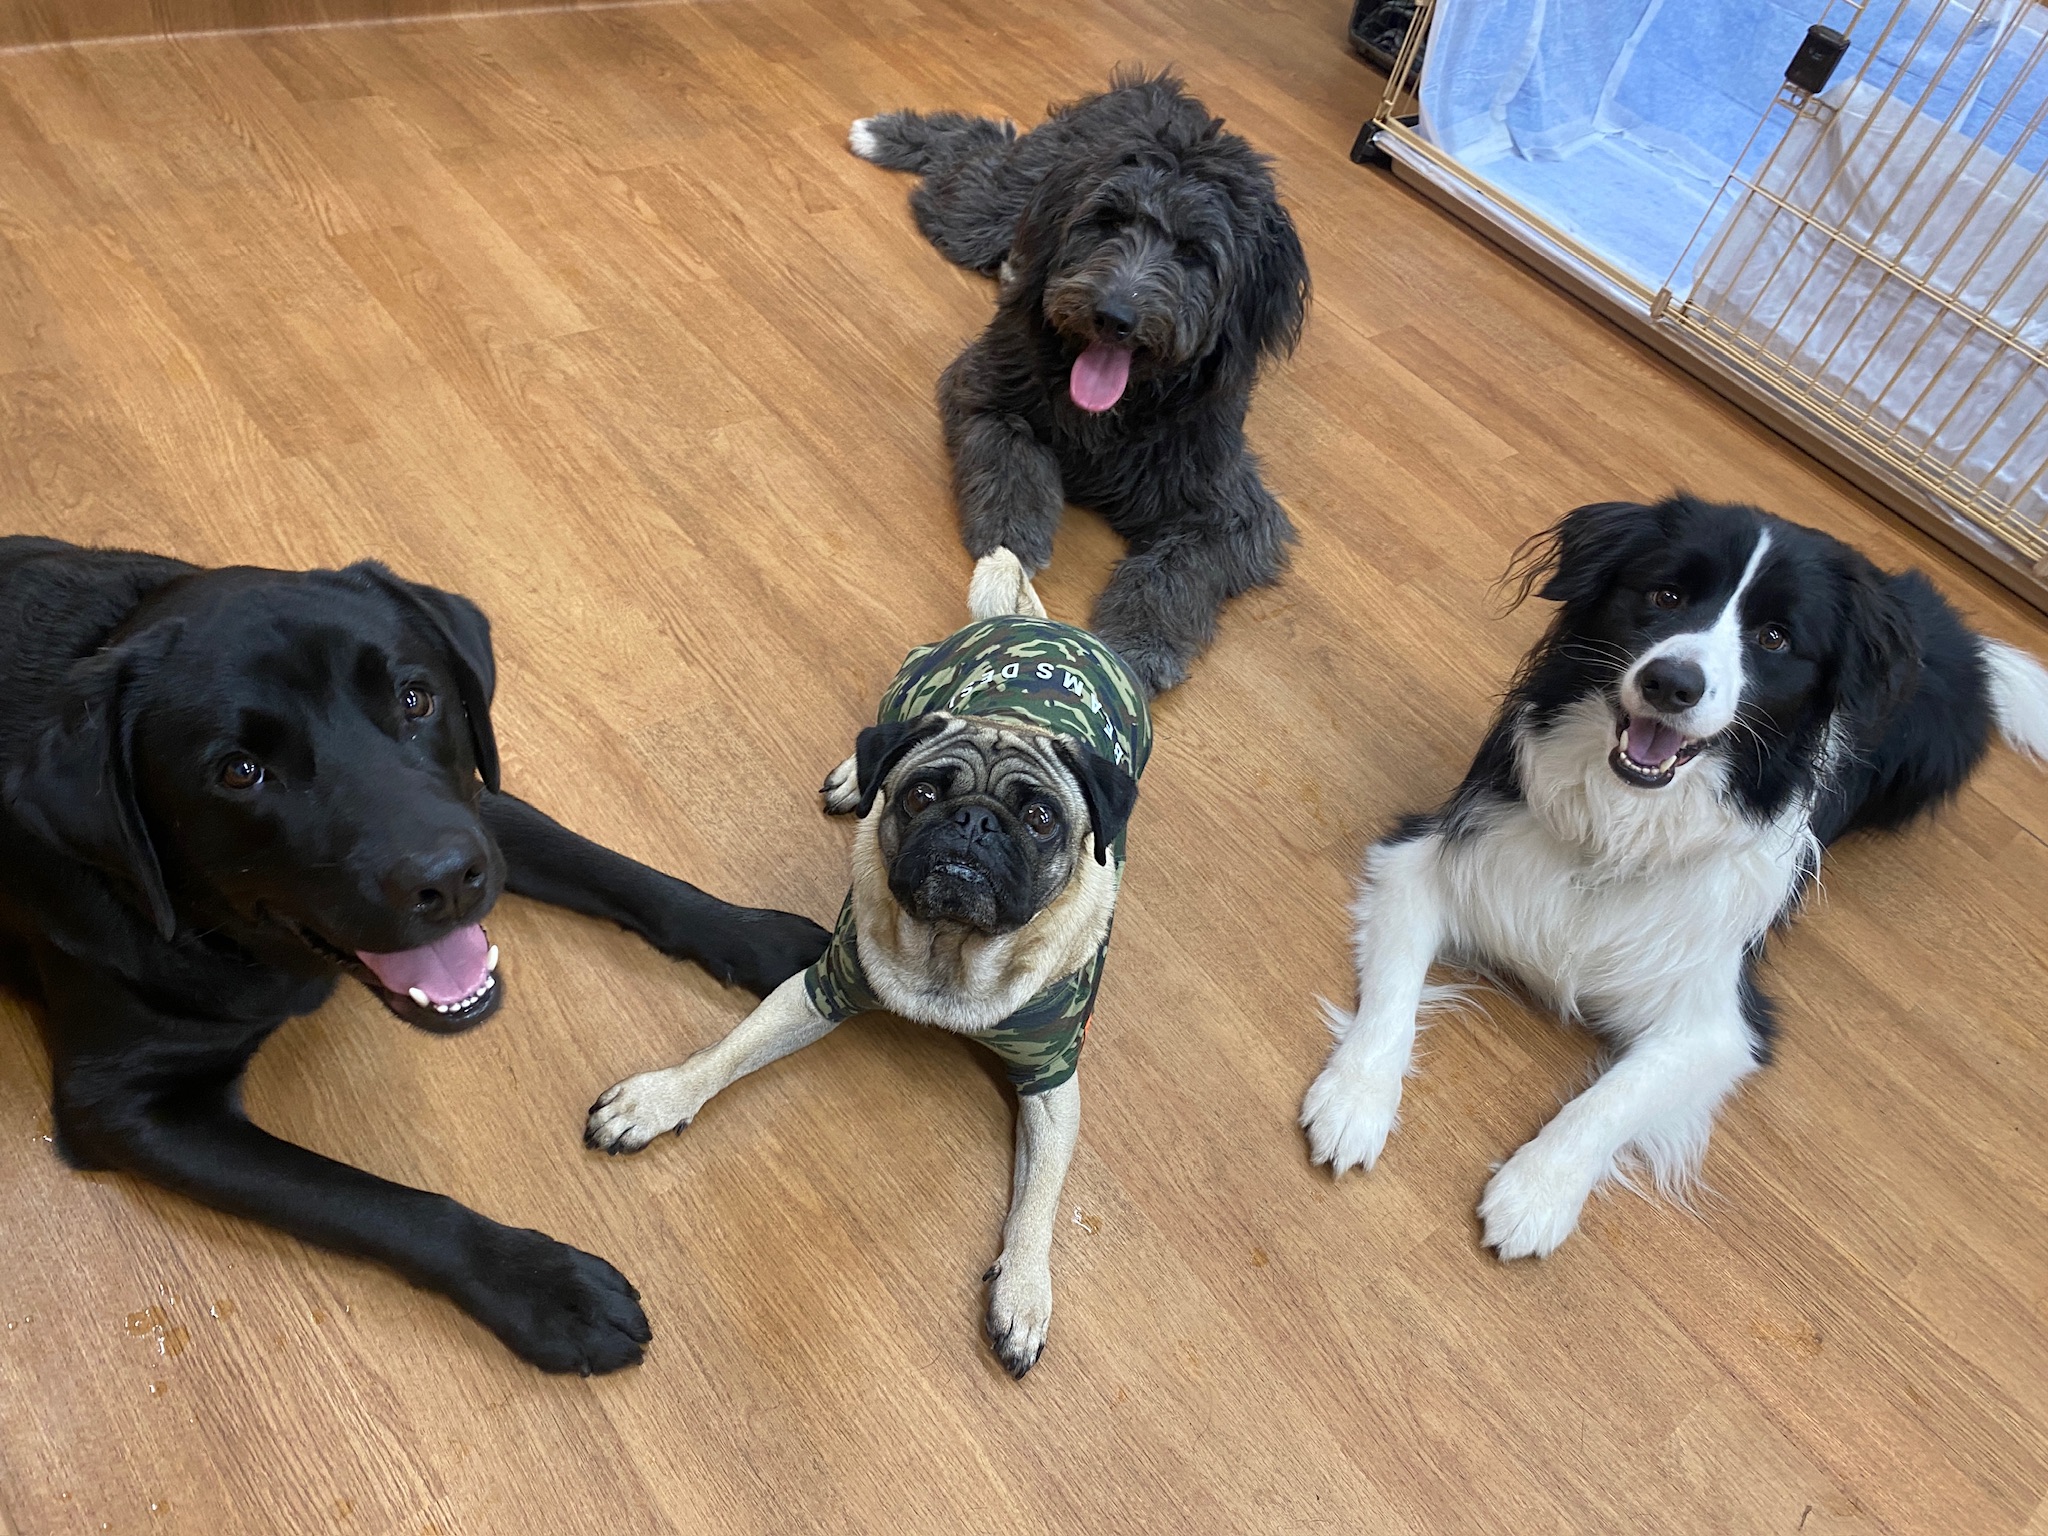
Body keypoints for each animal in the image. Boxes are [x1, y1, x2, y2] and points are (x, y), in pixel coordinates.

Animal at [0, 536, 829, 1373]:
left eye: (414, 699)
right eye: (239, 770)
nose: (448, 879)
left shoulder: (474, 804)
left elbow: (615, 868)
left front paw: (764, 940)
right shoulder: (124, 1105)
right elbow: (372, 1203)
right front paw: (543, 1287)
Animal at [587, 550, 1146, 1377]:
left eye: (1042, 819)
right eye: (920, 795)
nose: (974, 823)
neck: (951, 953)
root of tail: (1049, 623)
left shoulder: (1051, 1082)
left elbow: (1039, 1199)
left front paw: (1024, 1292)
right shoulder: (821, 988)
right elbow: (726, 1053)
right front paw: (656, 1100)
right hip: (910, 684)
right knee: (887, 732)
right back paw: (857, 775)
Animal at [848, 71, 1310, 695]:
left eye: (1194, 251)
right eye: (1108, 220)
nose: (1114, 316)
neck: (1118, 408)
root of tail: (1156, 88)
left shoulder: (1233, 508)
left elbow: (1181, 567)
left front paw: (1141, 644)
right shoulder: (988, 386)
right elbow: (1009, 455)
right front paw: (1014, 537)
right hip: (981, 214)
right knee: (981, 149)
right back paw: (884, 133)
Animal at [1299, 495, 2048, 1258]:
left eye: (1775, 638)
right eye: (1665, 596)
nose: (1672, 683)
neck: (1622, 825)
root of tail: (1950, 624)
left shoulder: (1718, 1021)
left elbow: (1611, 1098)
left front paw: (1536, 1192)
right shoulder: (1426, 859)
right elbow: (1393, 996)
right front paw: (1355, 1100)